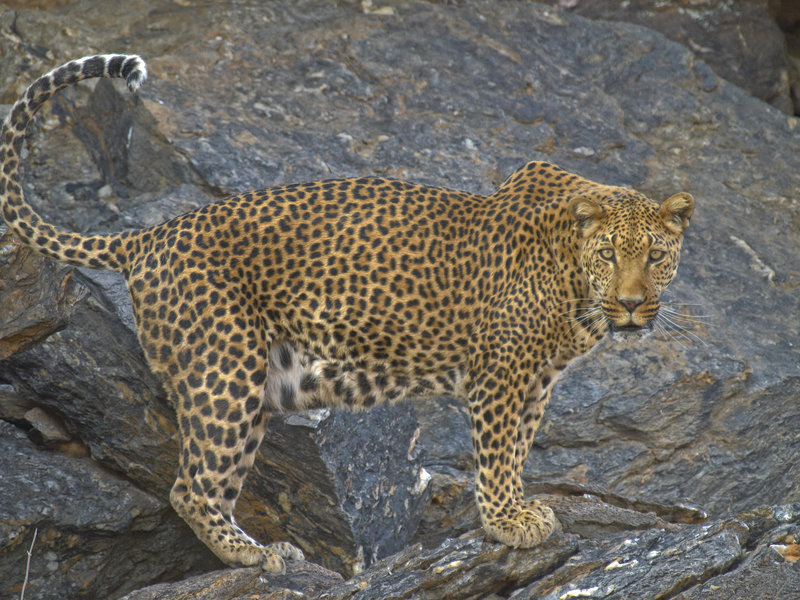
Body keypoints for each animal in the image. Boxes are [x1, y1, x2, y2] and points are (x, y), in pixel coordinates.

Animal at [0, 54, 694, 574]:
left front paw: (519, 508)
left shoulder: (536, 381)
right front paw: (506, 521)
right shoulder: (502, 375)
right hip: (223, 371)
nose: (632, 303)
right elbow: (498, 452)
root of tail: (149, 236)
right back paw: (253, 556)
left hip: (260, 385)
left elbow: (519, 447)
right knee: (190, 486)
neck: (574, 279)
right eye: (609, 254)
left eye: (656, 256)